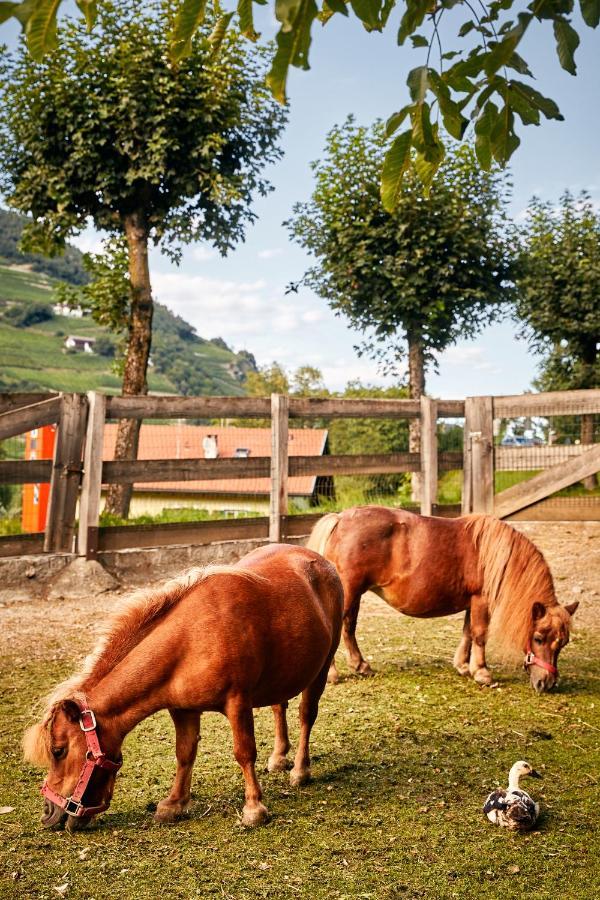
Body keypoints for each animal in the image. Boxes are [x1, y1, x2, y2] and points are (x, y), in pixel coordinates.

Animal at [22, 540, 342, 828]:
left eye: (58, 751)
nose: (48, 813)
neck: (190, 640)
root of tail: (320, 560)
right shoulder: (182, 710)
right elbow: (184, 753)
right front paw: (174, 804)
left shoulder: (238, 702)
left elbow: (244, 752)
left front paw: (254, 809)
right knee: (279, 707)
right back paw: (278, 757)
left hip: (321, 668)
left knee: (306, 716)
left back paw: (300, 770)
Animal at [308, 510, 580, 692]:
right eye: (538, 638)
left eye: (563, 643)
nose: (547, 683)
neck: (495, 555)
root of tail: (339, 519)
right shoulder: (481, 601)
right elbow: (479, 634)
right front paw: (482, 672)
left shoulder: (471, 602)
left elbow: (467, 633)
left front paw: (463, 666)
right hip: (350, 593)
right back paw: (332, 674)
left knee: (349, 629)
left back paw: (361, 665)